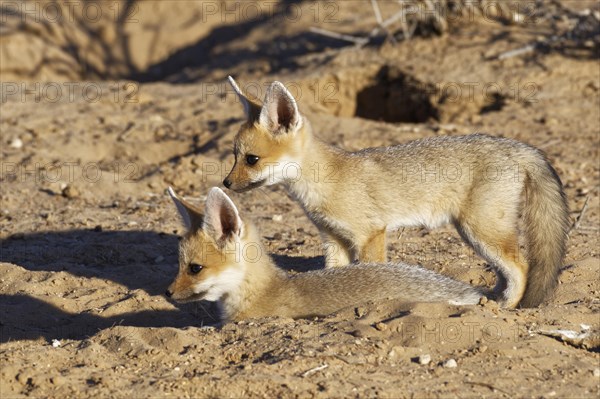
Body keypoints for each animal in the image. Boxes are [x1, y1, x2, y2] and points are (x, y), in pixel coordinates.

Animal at [223, 77, 568, 310]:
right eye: (234, 156)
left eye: (251, 160)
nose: (226, 183)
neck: (328, 181)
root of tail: (515, 145)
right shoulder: (333, 239)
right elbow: (334, 276)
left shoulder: (370, 234)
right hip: (474, 233)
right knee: (506, 271)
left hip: (482, 231)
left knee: (521, 267)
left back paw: (507, 308)